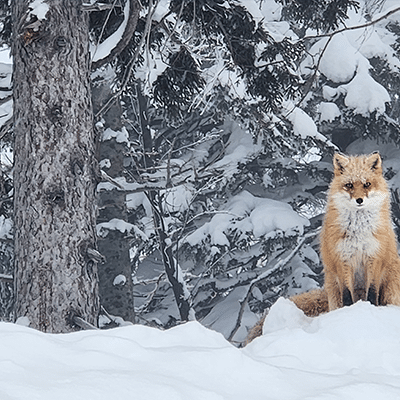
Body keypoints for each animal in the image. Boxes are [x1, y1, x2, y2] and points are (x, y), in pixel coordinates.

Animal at [245, 153, 400, 344]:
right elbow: (346, 294)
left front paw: (370, 309)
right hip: (333, 286)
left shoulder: (374, 258)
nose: (359, 200)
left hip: (391, 287)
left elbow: (372, 292)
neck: (358, 230)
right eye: (349, 185)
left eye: (367, 184)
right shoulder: (342, 260)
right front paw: (349, 314)